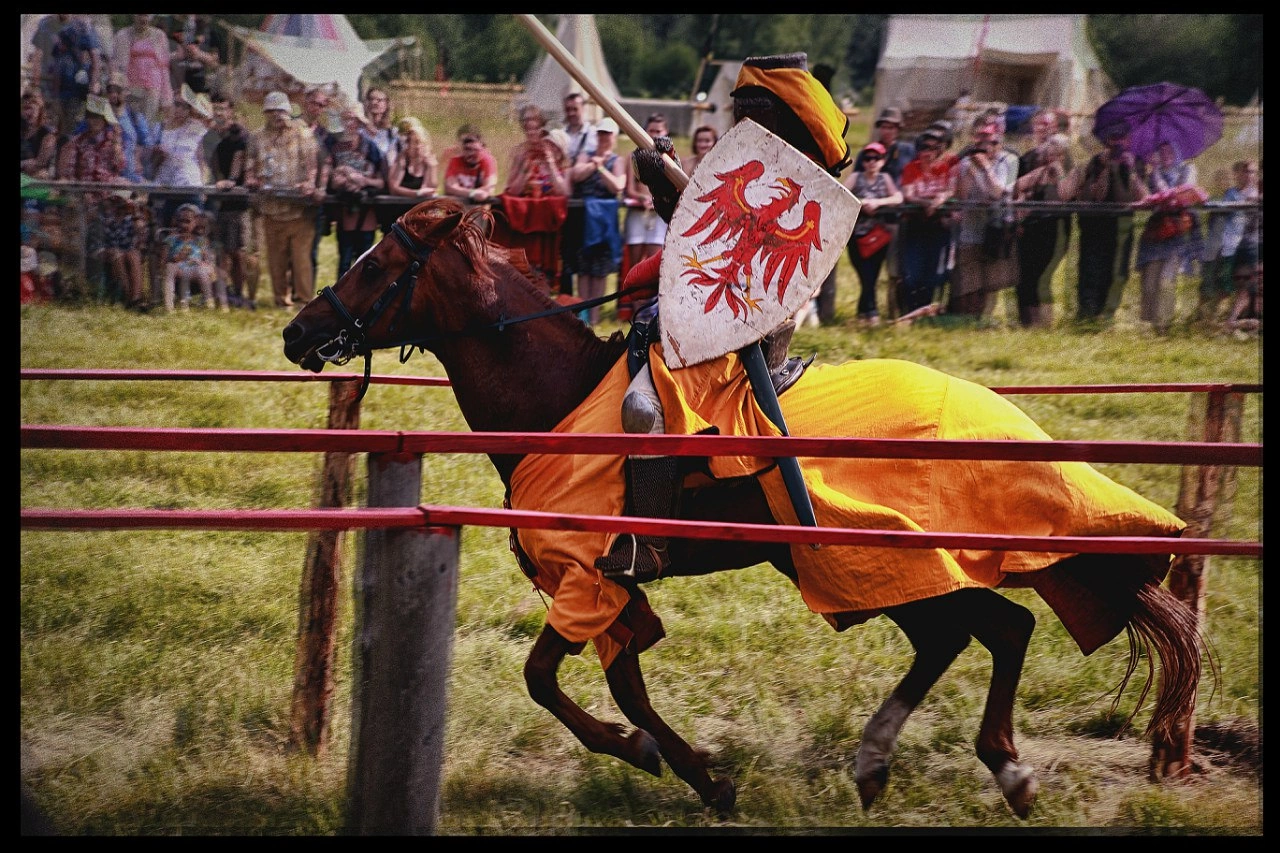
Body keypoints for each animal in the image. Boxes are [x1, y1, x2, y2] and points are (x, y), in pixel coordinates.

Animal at [285, 199, 1203, 819]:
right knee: (961, 635)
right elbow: (625, 682)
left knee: (1002, 626)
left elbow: (545, 678)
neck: (560, 397)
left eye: (374, 265)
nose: (298, 334)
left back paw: (1001, 768)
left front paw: (643, 754)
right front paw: (702, 775)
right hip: (876, 565)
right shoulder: (617, 582)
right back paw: (879, 762)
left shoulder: (586, 573)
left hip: (893, 555)